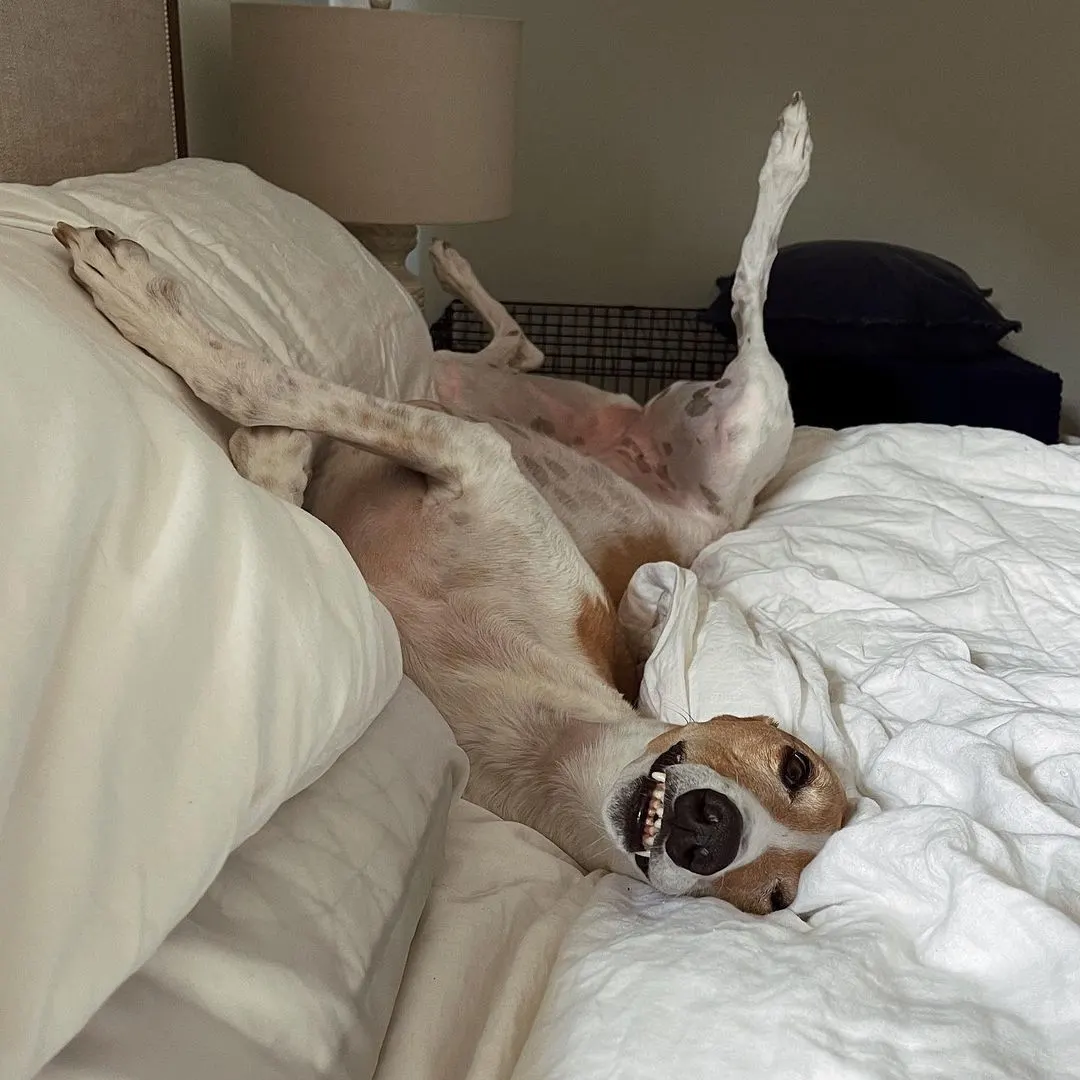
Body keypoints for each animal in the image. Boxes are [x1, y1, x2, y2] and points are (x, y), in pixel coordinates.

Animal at [52, 92, 842, 911]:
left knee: (534, 342)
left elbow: (269, 432)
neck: (527, 717)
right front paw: (150, 307)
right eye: (795, 765)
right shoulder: (472, 454)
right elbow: (260, 383)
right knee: (733, 305)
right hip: (691, 408)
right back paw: (785, 154)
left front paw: (265, 439)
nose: (708, 832)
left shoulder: (452, 467)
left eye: (775, 899)